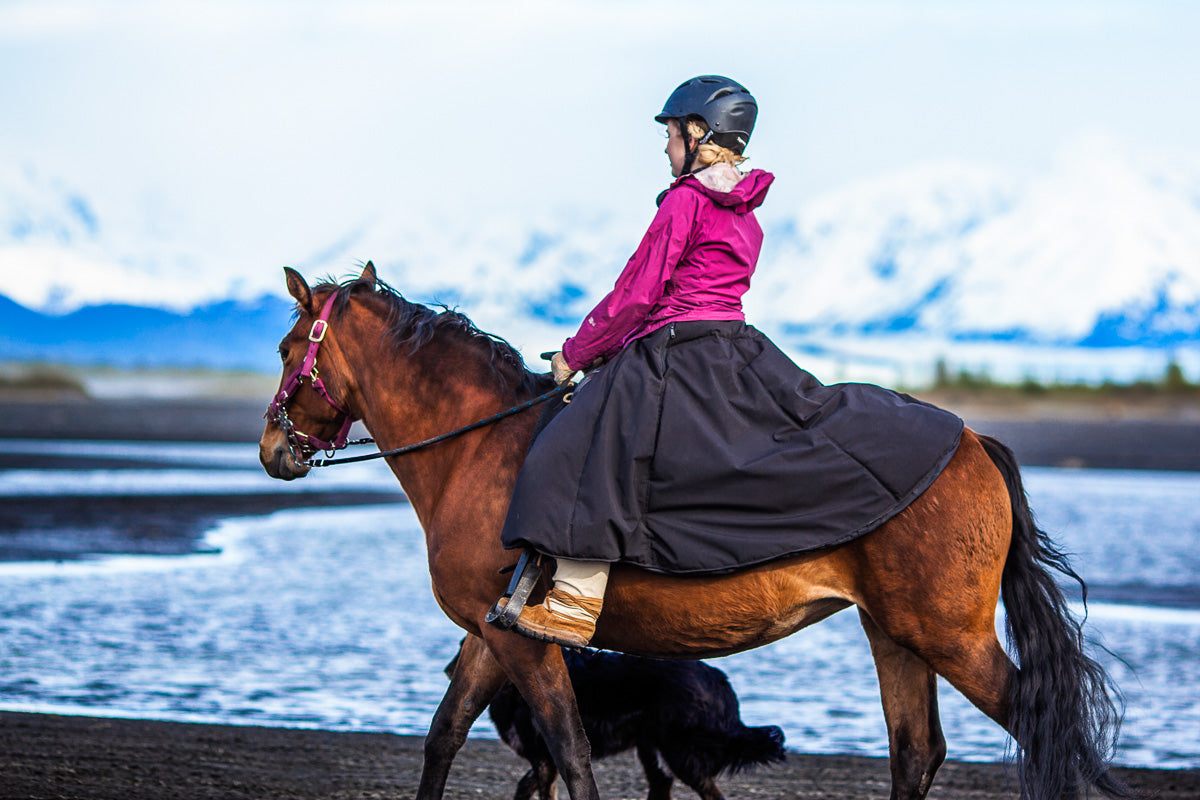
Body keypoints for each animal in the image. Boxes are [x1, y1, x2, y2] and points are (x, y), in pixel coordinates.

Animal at [446, 642, 782, 800]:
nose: (448, 671)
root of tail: (718, 678)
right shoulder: (546, 759)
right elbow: (524, 785)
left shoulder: (544, 758)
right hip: (650, 747)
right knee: (662, 785)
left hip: (677, 752)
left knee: (708, 791)